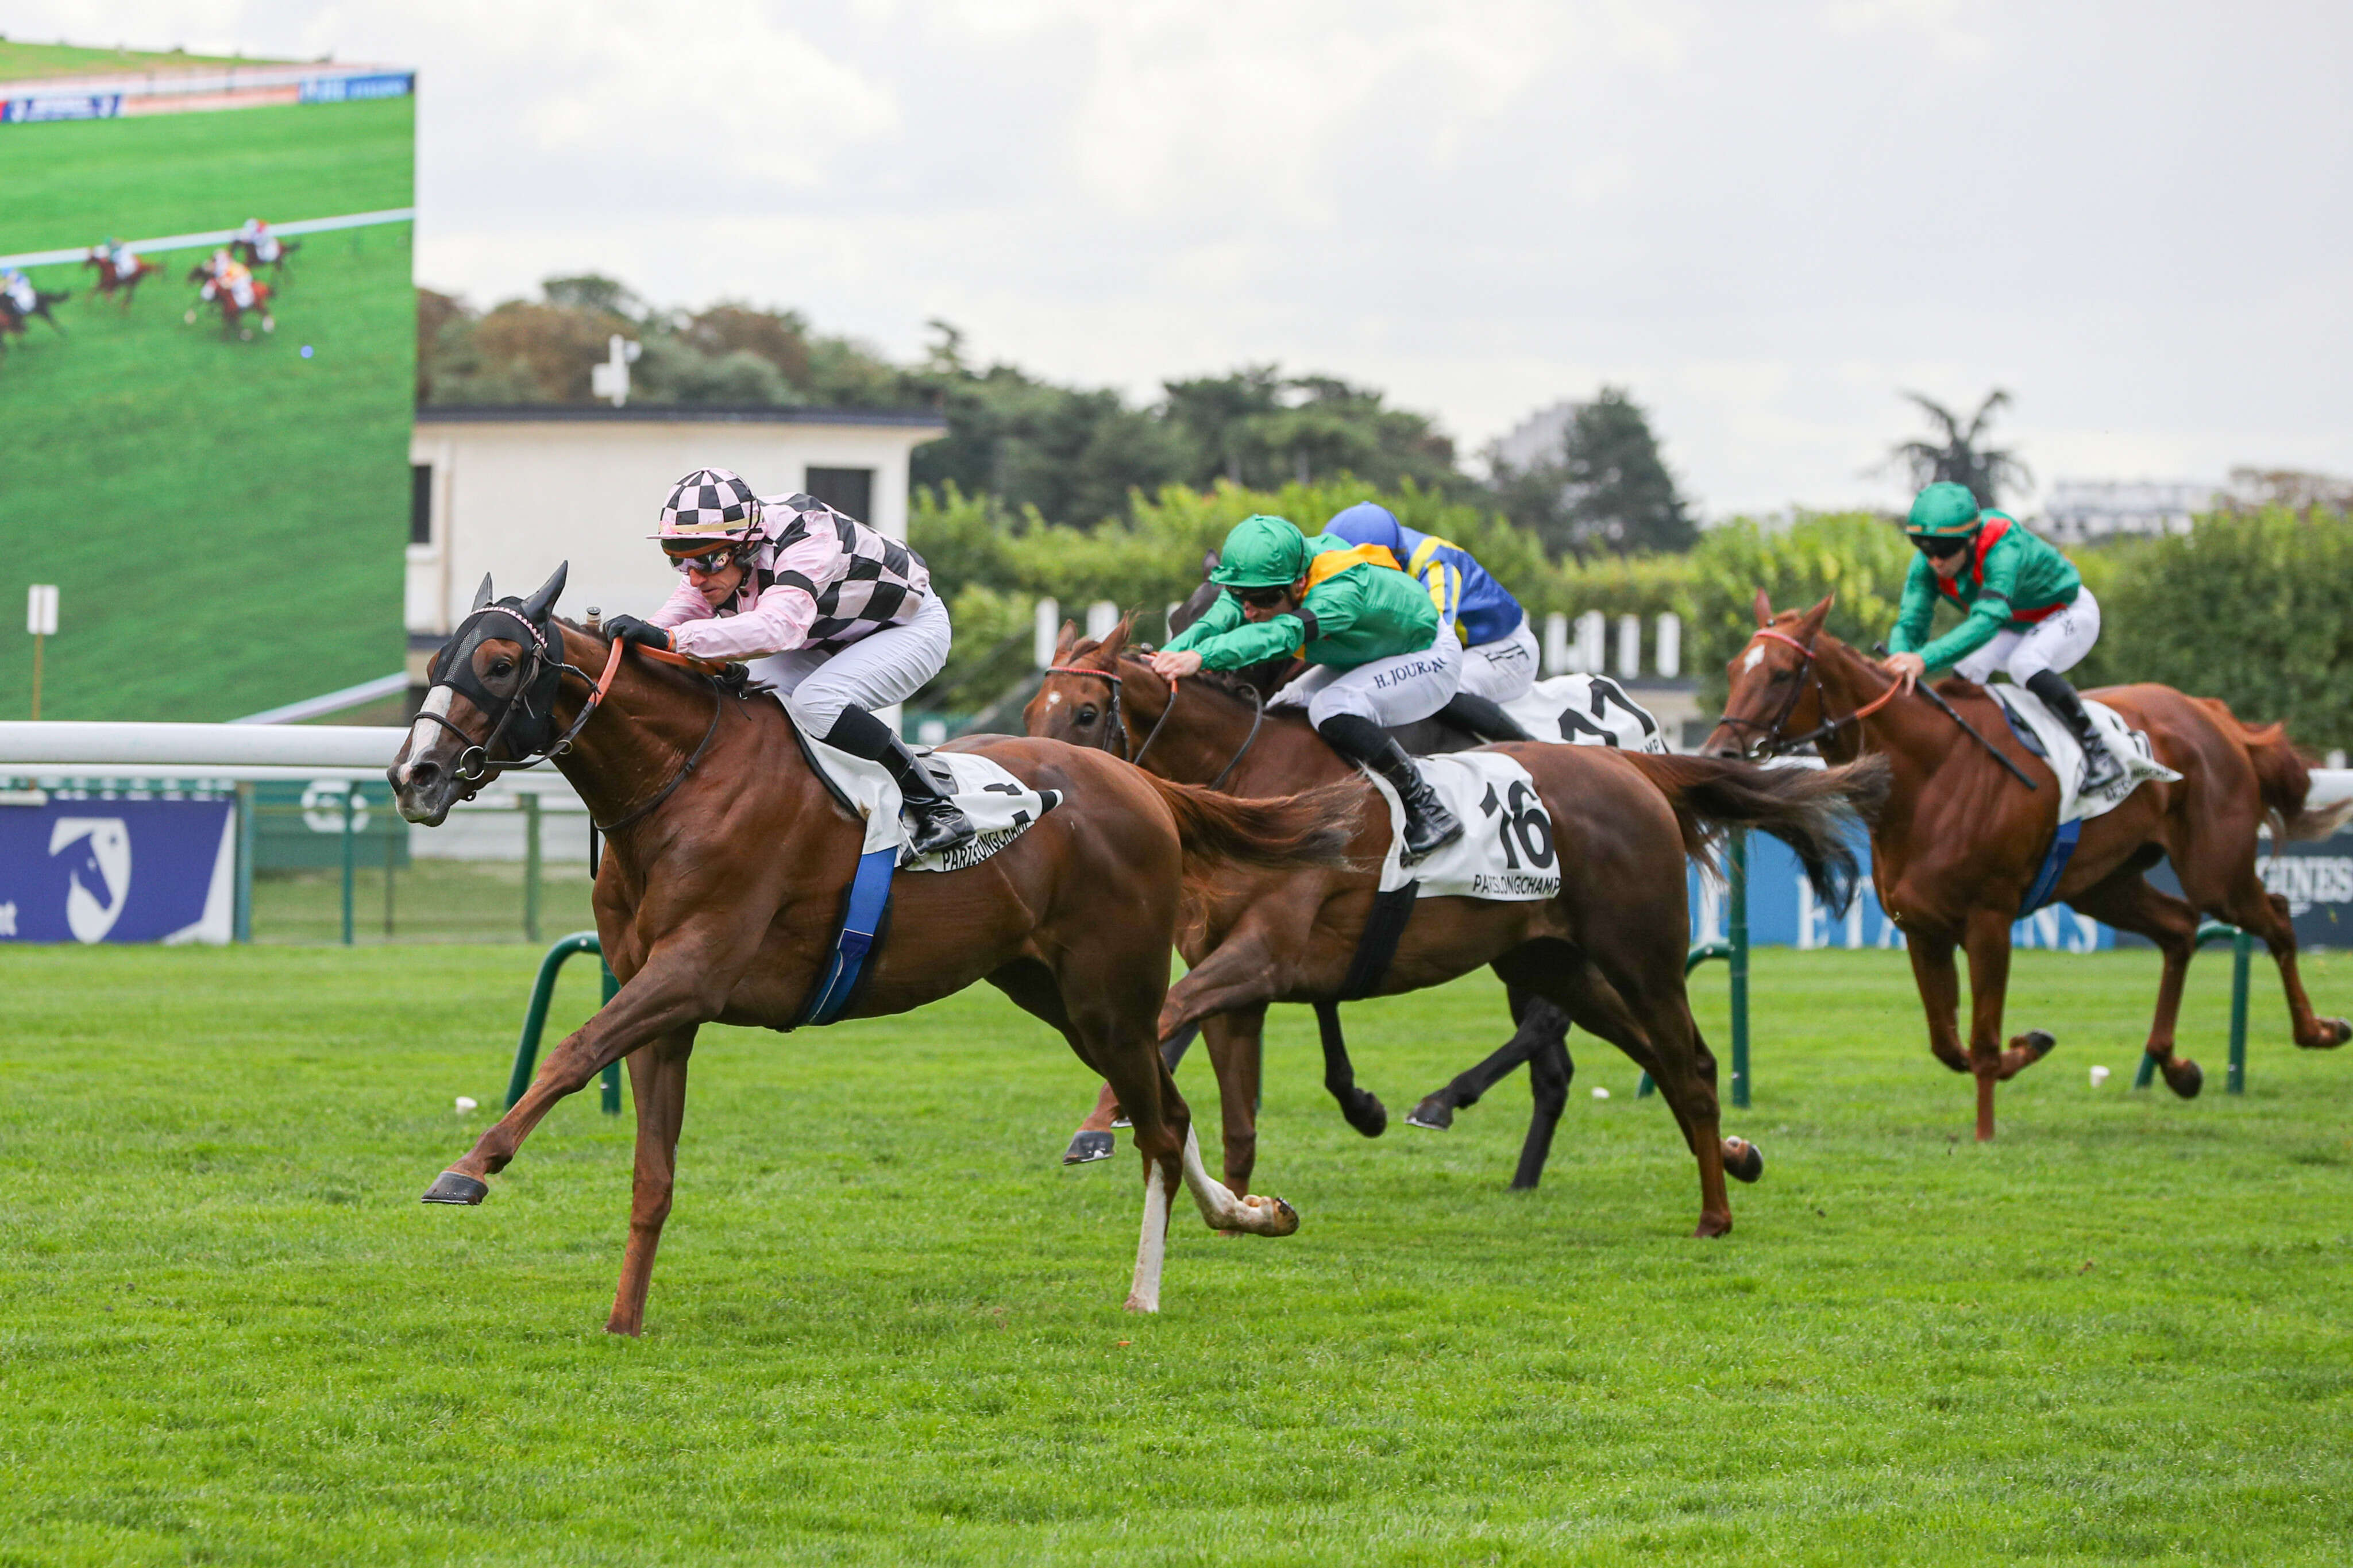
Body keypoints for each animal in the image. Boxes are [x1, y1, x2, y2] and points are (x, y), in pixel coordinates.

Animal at [381, 571, 1345, 1335]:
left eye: (500, 663)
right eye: (435, 665)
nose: (412, 776)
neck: (682, 783)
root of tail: (1139, 779)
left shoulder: (690, 972)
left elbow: (574, 1051)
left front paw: (468, 1169)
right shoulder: (665, 1008)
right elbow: (651, 1176)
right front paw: (624, 1318)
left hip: (1111, 990)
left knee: (1160, 1123)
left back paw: (1145, 1293)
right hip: (1055, 993)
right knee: (1167, 1109)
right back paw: (1252, 1213)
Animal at [1712, 588, 2353, 1142]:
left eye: (1780, 674)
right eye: (1732, 669)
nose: (1720, 753)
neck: (1928, 777)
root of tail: (2216, 716)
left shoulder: (1989, 921)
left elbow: (1981, 1037)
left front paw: (1984, 1130)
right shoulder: (1920, 927)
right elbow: (1947, 1042)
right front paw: (2029, 1046)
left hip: (2214, 870)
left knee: (2274, 916)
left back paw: (2318, 1030)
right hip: (2102, 885)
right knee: (2179, 928)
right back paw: (2177, 1066)